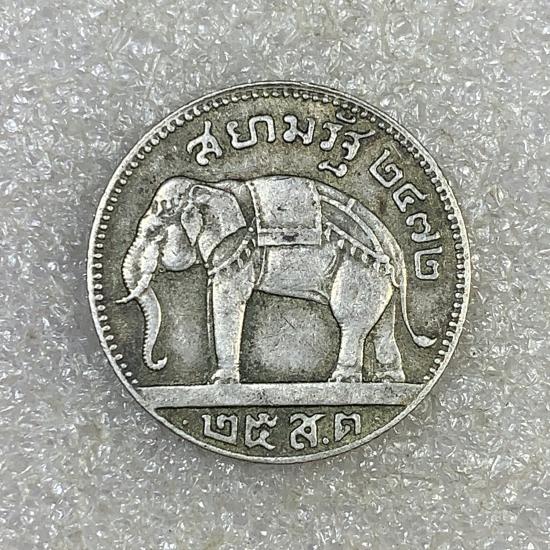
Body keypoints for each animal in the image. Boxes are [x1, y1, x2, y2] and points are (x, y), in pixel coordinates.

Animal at [117, 174, 435, 384]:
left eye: (154, 233)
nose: (161, 361)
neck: (209, 187)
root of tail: (394, 248)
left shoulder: (235, 245)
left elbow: (229, 302)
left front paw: (221, 383)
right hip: (380, 280)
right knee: (382, 327)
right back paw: (389, 381)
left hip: (359, 273)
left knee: (351, 320)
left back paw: (341, 382)